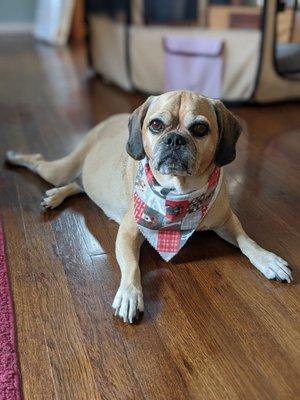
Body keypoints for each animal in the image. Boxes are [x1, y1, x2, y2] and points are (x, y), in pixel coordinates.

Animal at [5, 90, 292, 322]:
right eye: (156, 125)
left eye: (200, 129)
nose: (175, 139)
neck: (179, 193)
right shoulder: (129, 232)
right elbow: (131, 266)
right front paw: (130, 294)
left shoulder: (227, 221)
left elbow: (247, 241)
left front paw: (267, 260)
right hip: (59, 169)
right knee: (40, 162)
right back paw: (15, 157)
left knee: (78, 184)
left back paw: (55, 195)